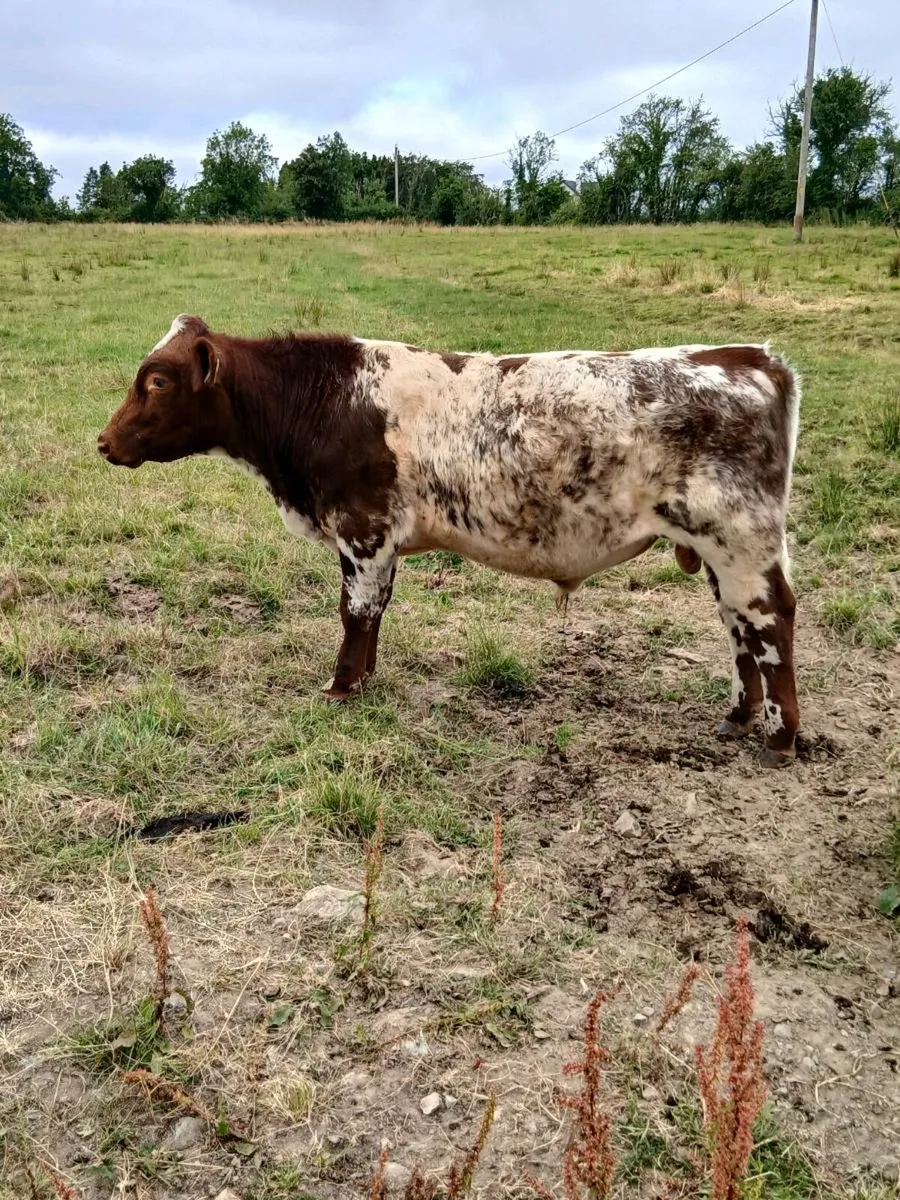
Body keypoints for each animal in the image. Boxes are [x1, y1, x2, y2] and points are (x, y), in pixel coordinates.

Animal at [98, 315, 801, 768]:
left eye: (157, 381)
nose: (104, 442)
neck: (321, 401)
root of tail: (748, 358)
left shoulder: (362, 531)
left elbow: (355, 613)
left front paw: (341, 686)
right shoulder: (380, 540)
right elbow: (375, 613)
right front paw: (364, 679)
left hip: (741, 540)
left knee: (770, 622)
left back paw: (779, 737)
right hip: (717, 552)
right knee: (738, 626)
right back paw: (738, 716)